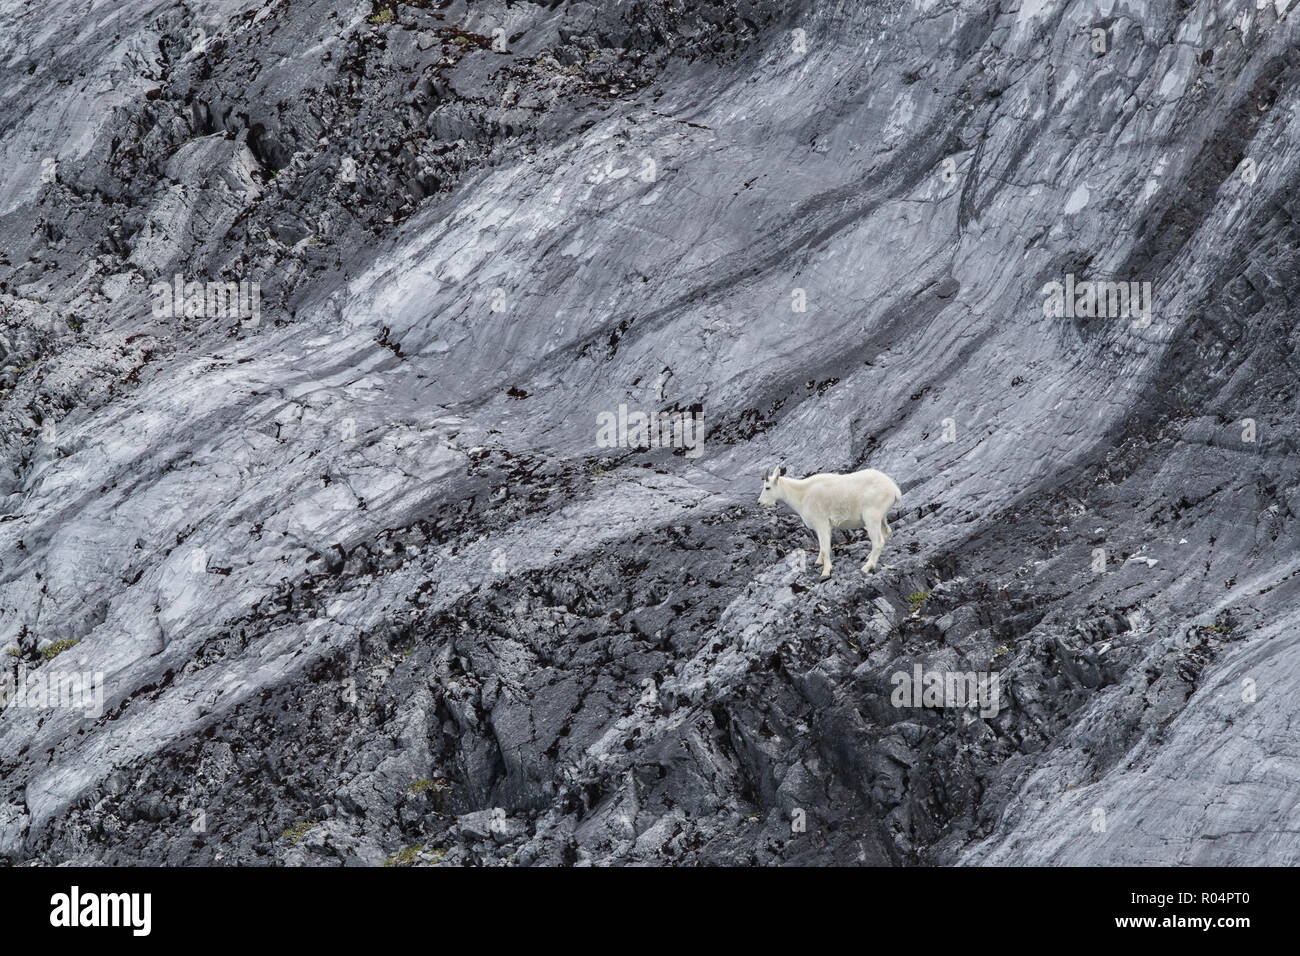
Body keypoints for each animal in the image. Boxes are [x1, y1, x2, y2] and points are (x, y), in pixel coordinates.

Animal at [758, 465, 901, 579]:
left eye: (767, 487)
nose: (759, 503)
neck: (802, 495)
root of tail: (894, 490)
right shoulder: (826, 526)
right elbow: (823, 547)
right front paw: (818, 562)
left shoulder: (821, 523)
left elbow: (825, 549)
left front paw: (826, 572)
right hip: (881, 517)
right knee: (887, 532)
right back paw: (868, 557)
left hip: (872, 517)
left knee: (878, 542)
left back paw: (867, 567)